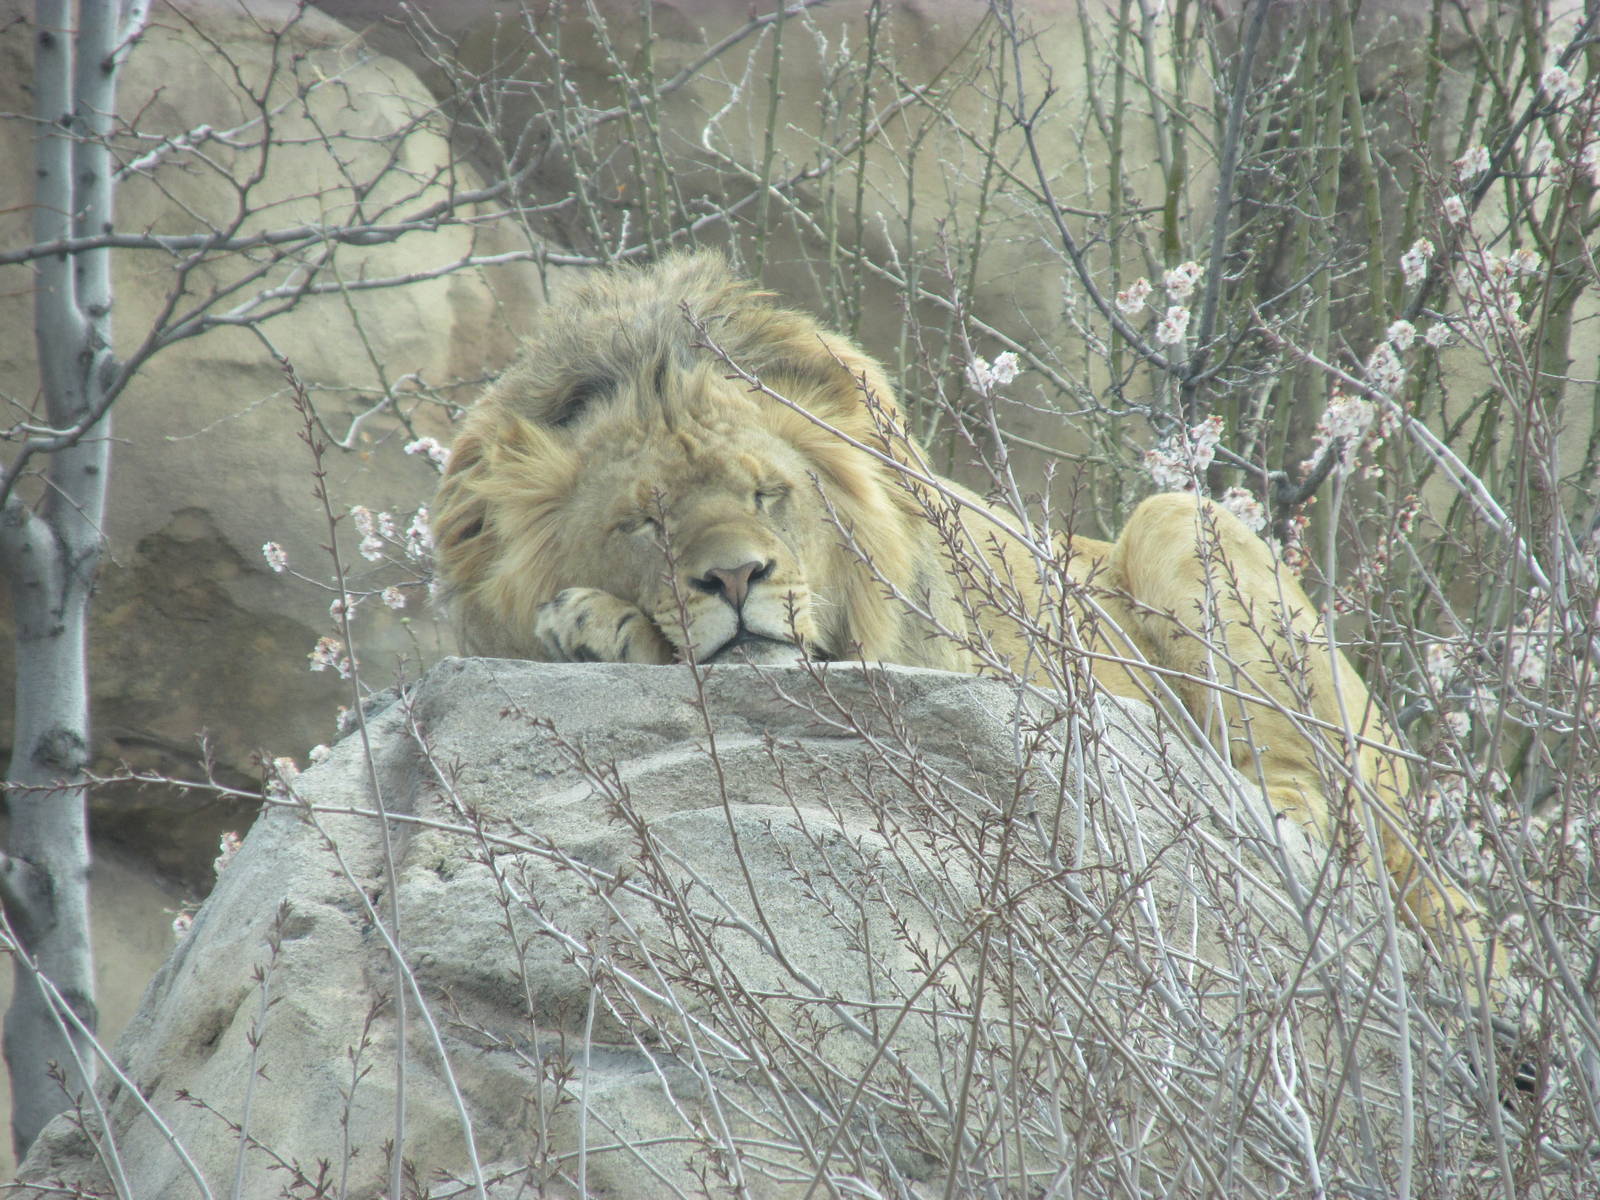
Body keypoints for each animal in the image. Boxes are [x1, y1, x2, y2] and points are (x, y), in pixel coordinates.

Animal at [432, 251, 1493, 980]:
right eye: (643, 522)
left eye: (771, 493)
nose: (734, 578)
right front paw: (591, 626)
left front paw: (602, 626)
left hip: (1178, 520)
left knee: (1313, 814)